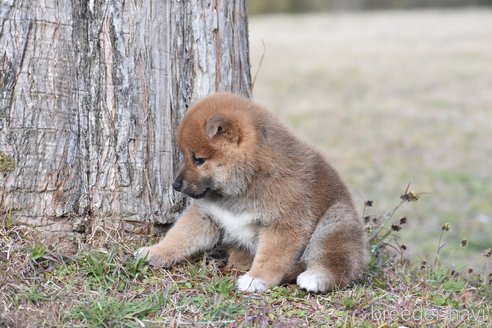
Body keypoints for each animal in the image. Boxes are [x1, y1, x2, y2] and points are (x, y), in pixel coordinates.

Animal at [135, 92, 366, 292]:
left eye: (199, 160)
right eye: (184, 156)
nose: (175, 185)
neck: (245, 186)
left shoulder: (284, 225)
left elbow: (271, 257)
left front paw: (257, 279)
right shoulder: (205, 215)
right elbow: (178, 237)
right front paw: (153, 251)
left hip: (336, 220)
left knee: (338, 263)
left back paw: (315, 277)